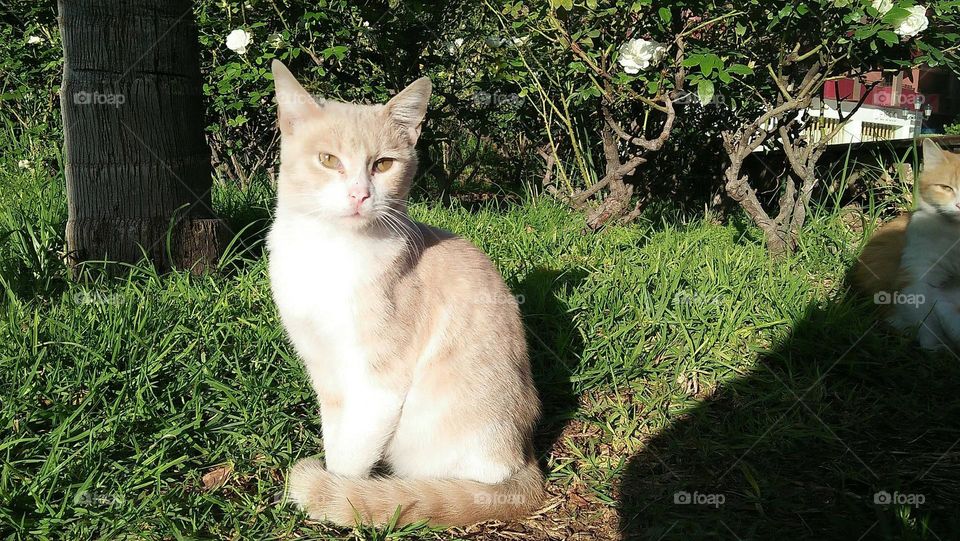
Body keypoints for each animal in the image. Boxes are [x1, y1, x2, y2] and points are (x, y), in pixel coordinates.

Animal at [266, 60, 544, 528]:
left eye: (383, 164)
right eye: (328, 160)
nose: (360, 195)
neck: (330, 253)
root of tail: (525, 461)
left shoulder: (379, 383)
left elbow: (350, 456)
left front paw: (340, 493)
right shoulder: (323, 368)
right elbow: (335, 433)